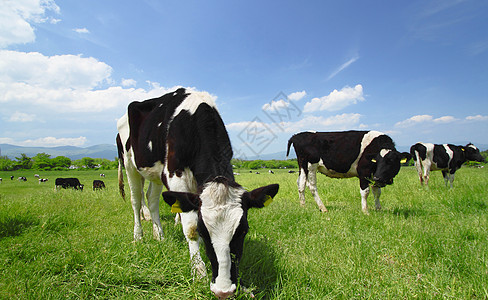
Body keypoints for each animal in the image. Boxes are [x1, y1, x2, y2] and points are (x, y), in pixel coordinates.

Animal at [116, 87, 280, 298]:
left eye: (243, 230)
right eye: (204, 231)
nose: (224, 291)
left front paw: (243, 286)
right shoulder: (176, 175)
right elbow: (190, 227)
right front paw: (198, 269)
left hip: (156, 174)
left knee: (151, 199)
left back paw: (159, 235)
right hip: (129, 163)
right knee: (136, 200)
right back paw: (138, 236)